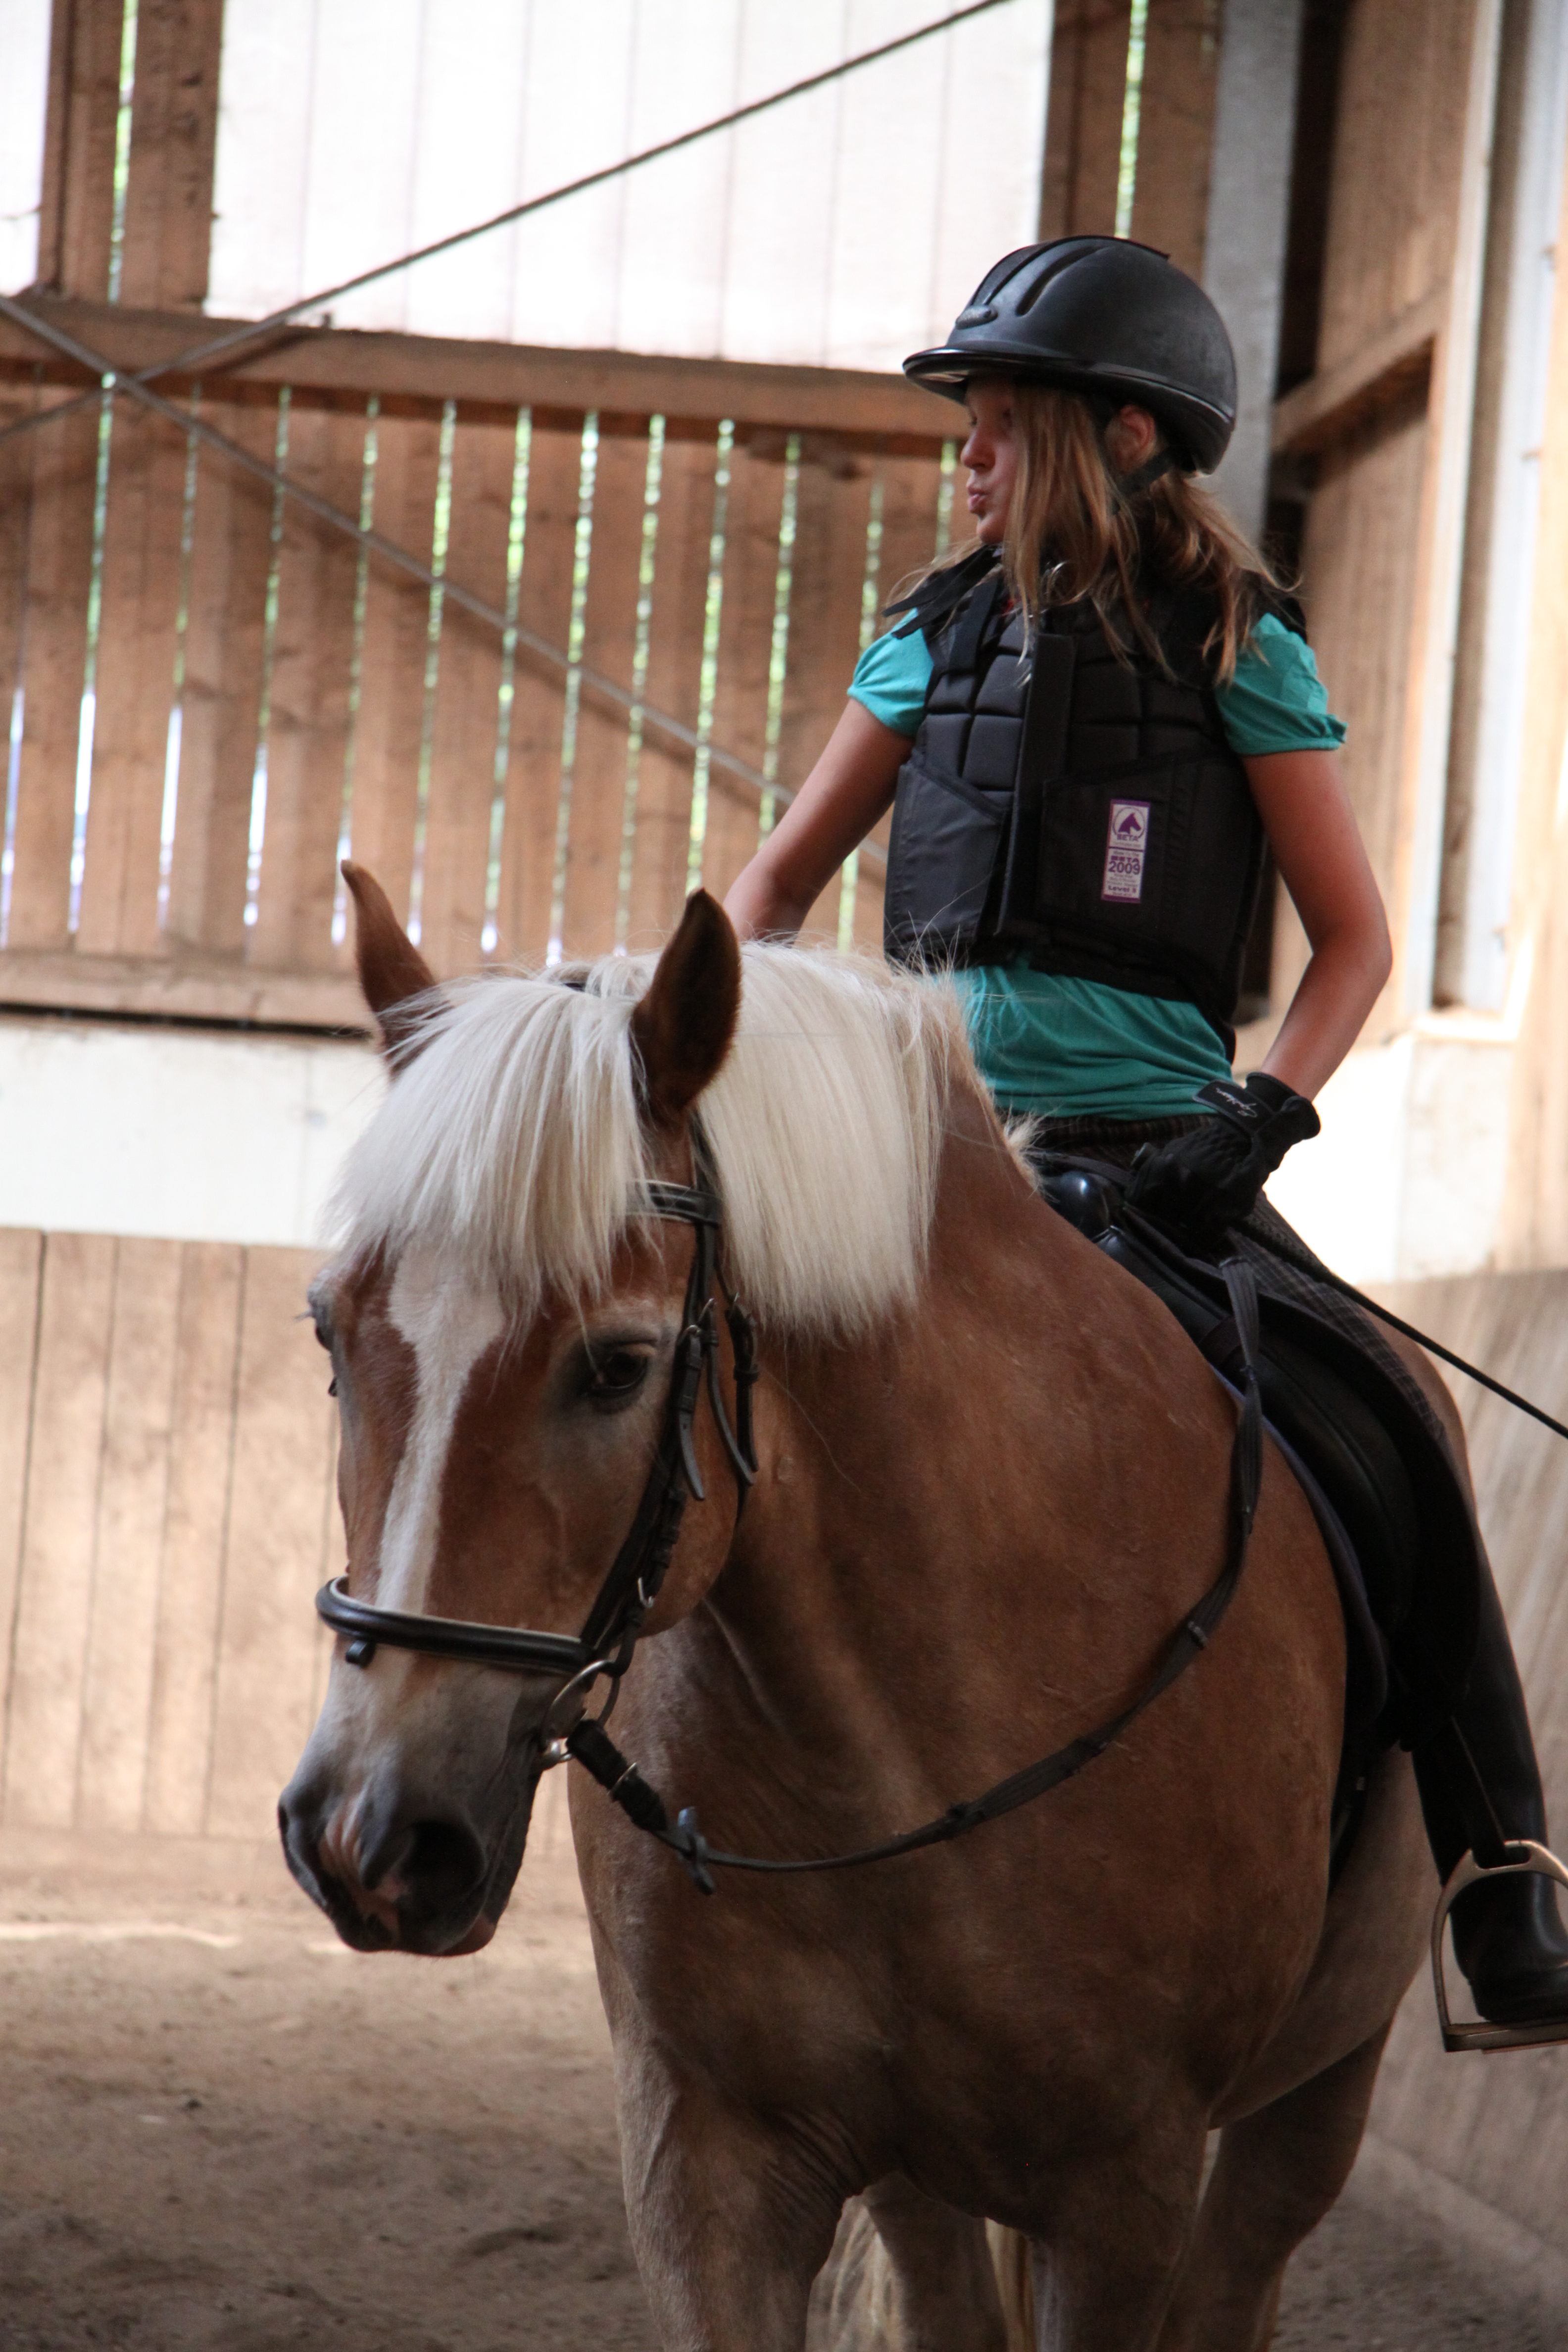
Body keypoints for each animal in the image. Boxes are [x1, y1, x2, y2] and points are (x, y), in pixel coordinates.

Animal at [280, 864, 1445, 2352]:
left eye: (617, 1367)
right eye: (331, 1333)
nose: (369, 1834)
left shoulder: (1124, 2192)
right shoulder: (705, 2156)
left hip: (1315, 2092)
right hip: (920, 2172)